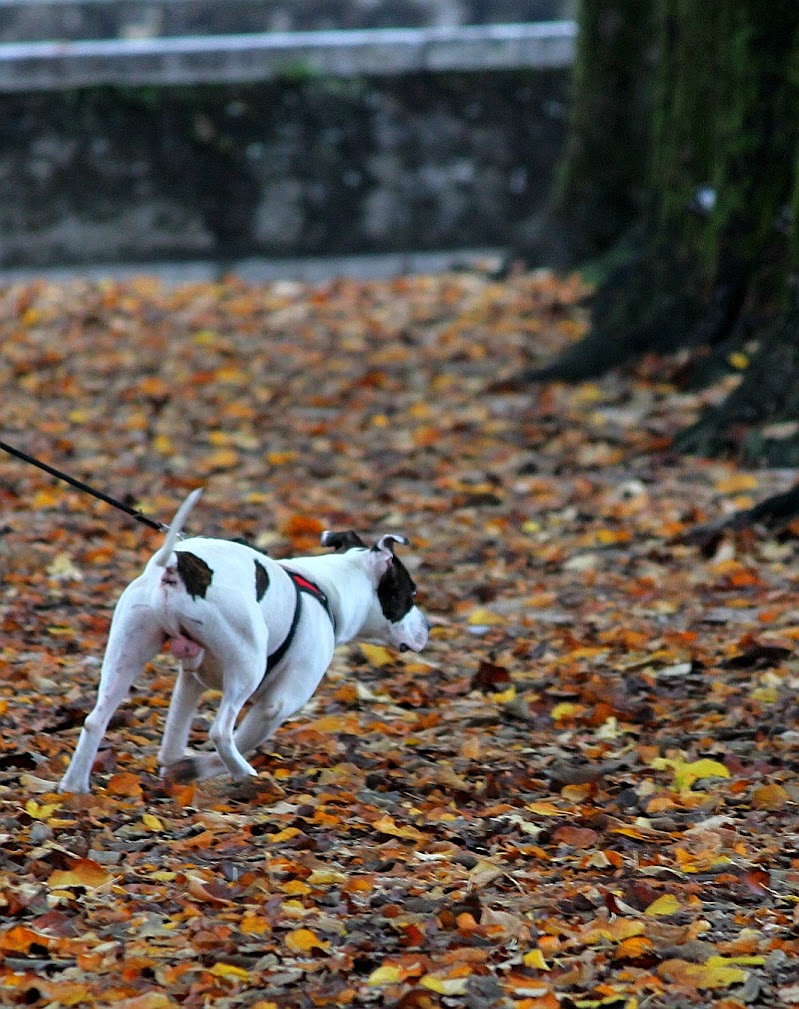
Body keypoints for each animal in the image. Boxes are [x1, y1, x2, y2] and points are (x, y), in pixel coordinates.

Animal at [58, 490, 427, 795]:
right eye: (411, 594)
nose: (428, 626)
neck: (326, 588)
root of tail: (180, 566)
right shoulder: (275, 705)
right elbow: (237, 741)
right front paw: (194, 769)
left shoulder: (190, 681)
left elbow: (174, 736)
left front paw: (174, 765)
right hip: (247, 668)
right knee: (222, 731)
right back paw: (245, 775)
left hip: (127, 653)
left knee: (95, 719)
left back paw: (75, 786)